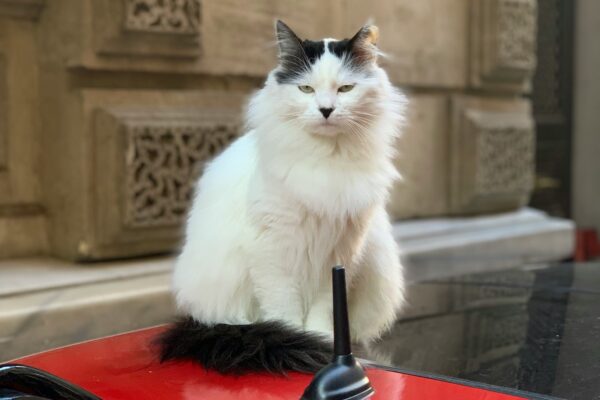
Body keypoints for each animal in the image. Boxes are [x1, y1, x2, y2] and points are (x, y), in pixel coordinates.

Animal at [158, 18, 408, 376]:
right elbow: (283, 307)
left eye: (345, 89)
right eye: (306, 89)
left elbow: (324, 309)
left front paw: (321, 341)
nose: (326, 110)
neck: (326, 160)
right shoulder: (272, 250)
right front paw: (295, 339)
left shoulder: (338, 254)